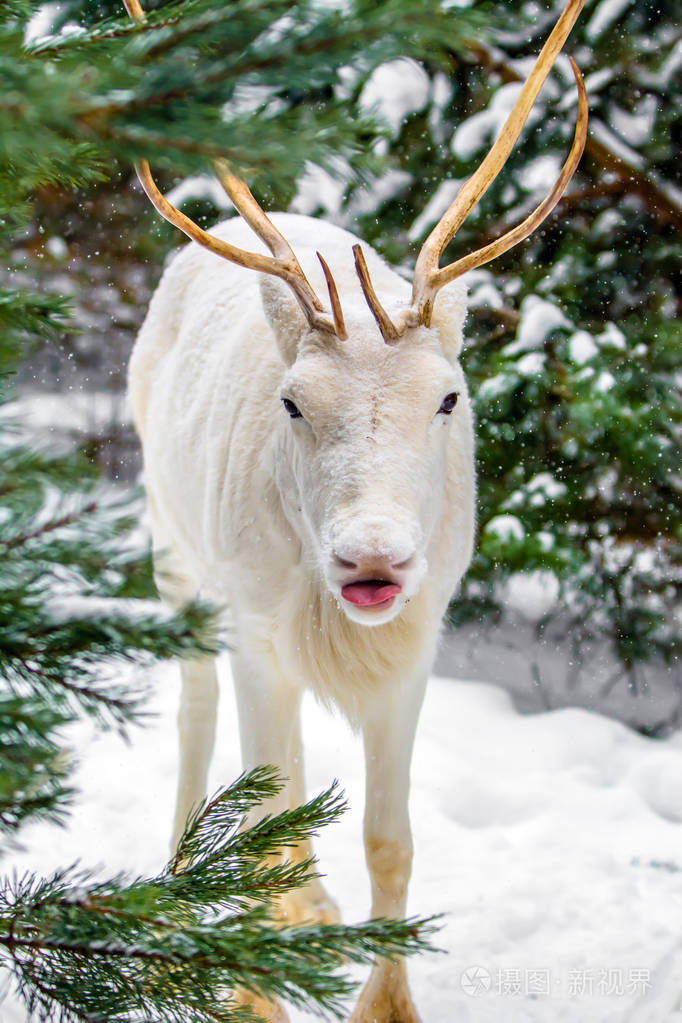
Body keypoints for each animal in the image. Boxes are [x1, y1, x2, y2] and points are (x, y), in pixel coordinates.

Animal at [126, 3, 588, 1018]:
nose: (371, 560)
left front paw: (385, 997)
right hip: (173, 540)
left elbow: (390, 839)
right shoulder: (254, 623)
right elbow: (261, 811)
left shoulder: (417, 636)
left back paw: (309, 899)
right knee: (196, 711)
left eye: (450, 397)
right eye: (293, 402)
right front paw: (251, 991)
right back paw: (180, 880)